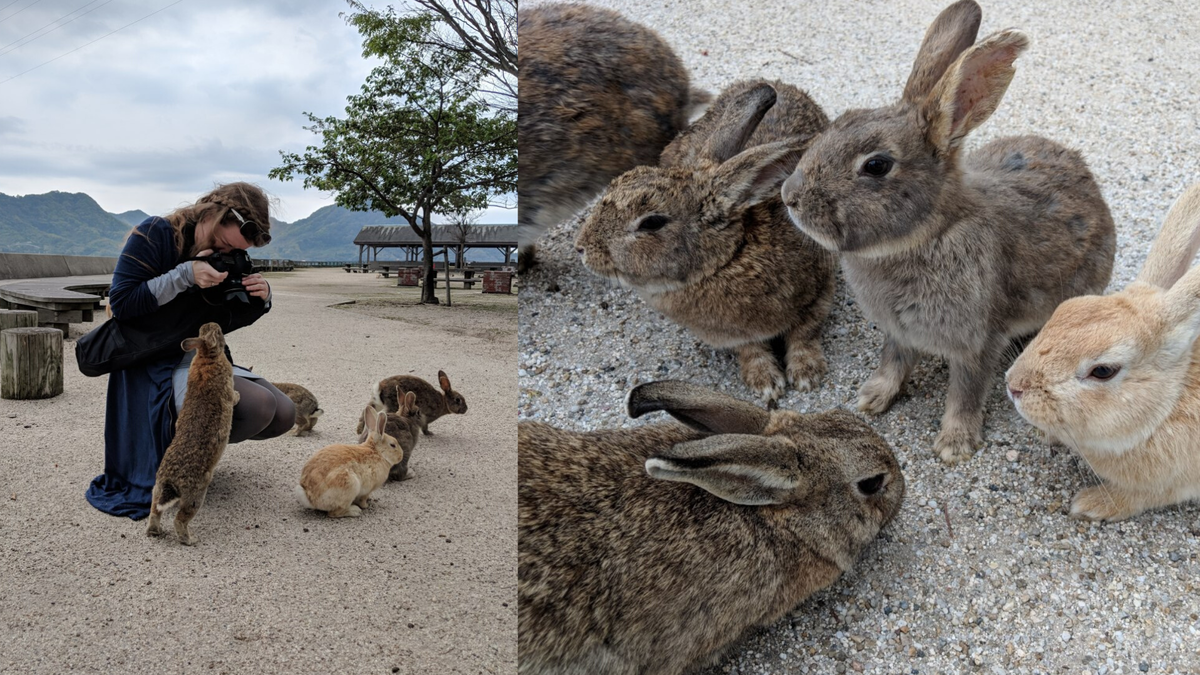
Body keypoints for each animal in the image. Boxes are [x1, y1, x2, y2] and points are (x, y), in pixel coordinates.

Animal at [145, 321, 238, 547]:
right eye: (219, 332)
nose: (216, 323)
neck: (207, 356)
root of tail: (171, 480)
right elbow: (233, 396)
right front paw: (239, 396)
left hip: (156, 489)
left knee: (154, 510)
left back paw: (154, 532)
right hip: (195, 495)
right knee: (180, 519)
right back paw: (190, 540)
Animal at [573, 81, 835, 401]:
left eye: (652, 222)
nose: (581, 247)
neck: (730, 257)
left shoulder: (821, 289)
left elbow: (804, 333)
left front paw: (807, 375)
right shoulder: (733, 335)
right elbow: (750, 350)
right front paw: (765, 383)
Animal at [777, 0, 1113, 461]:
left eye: (876, 165)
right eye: (843, 119)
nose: (789, 195)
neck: (928, 234)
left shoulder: (977, 341)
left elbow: (965, 392)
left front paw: (955, 445)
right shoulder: (899, 334)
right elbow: (893, 363)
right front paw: (872, 399)